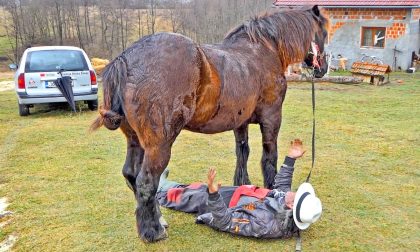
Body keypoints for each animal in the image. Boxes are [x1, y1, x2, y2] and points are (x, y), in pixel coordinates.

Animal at [91, 5, 328, 242]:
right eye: (324, 32)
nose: (323, 68)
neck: (263, 50)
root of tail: (126, 58)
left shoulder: (240, 123)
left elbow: (242, 154)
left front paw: (242, 184)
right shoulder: (271, 118)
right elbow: (269, 157)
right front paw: (271, 188)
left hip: (135, 140)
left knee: (131, 174)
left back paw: (158, 220)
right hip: (158, 146)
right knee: (146, 181)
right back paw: (154, 231)